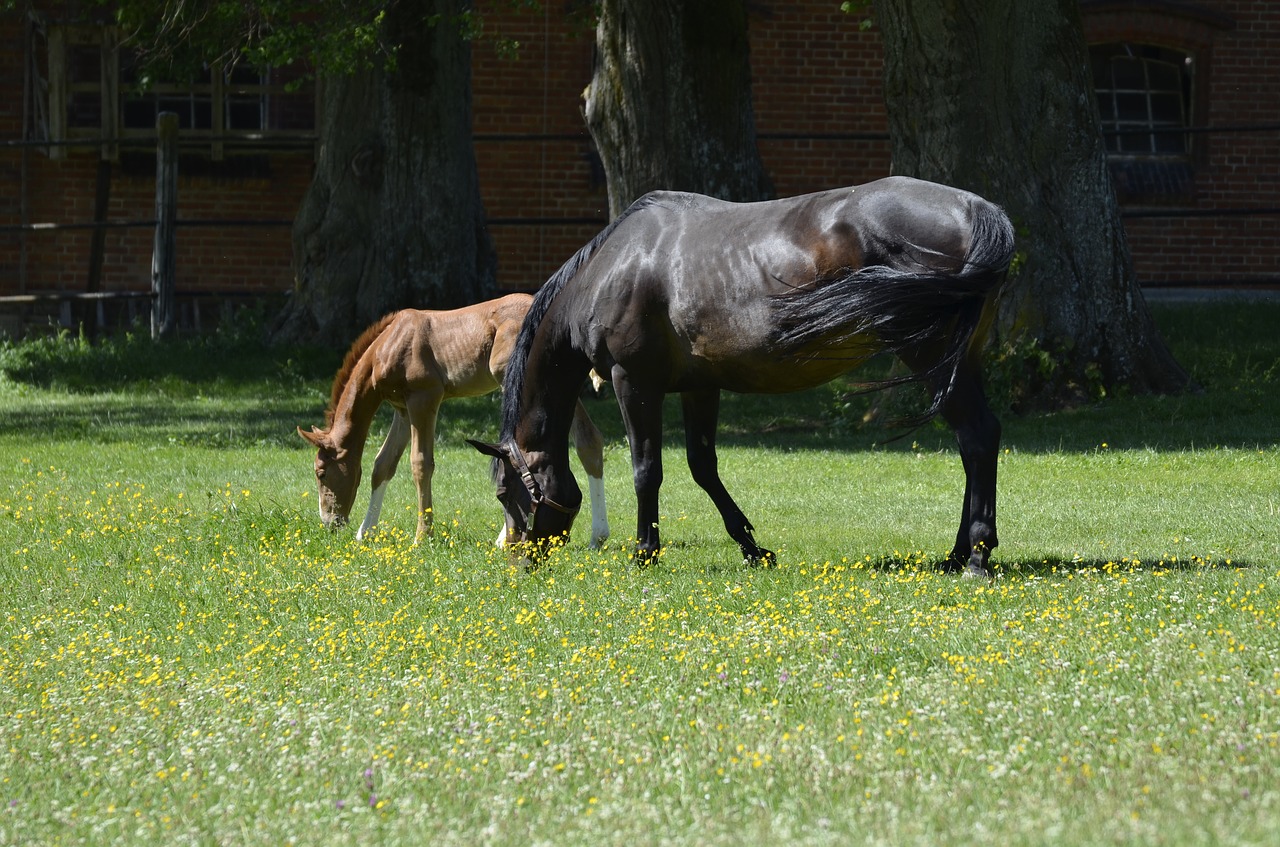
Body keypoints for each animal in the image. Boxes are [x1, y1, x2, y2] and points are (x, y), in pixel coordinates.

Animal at [299, 296, 609, 550]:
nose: (329, 522)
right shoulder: (402, 409)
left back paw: (504, 538)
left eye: (321, 473)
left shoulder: (424, 398)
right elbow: (382, 464)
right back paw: (598, 537)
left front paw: (422, 536)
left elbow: (420, 464)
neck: (388, 344)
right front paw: (365, 532)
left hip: (513, 378)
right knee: (589, 441)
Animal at [465, 177, 1013, 578]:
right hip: (957, 363)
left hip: (931, 357)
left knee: (976, 435)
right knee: (975, 442)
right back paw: (957, 554)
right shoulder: (699, 387)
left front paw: (645, 552)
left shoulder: (633, 383)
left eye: (506, 493)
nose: (519, 561)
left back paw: (976, 556)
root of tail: (979, 210)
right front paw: (752, 547)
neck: (614, 269)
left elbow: (647, 469)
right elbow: (703, 467)